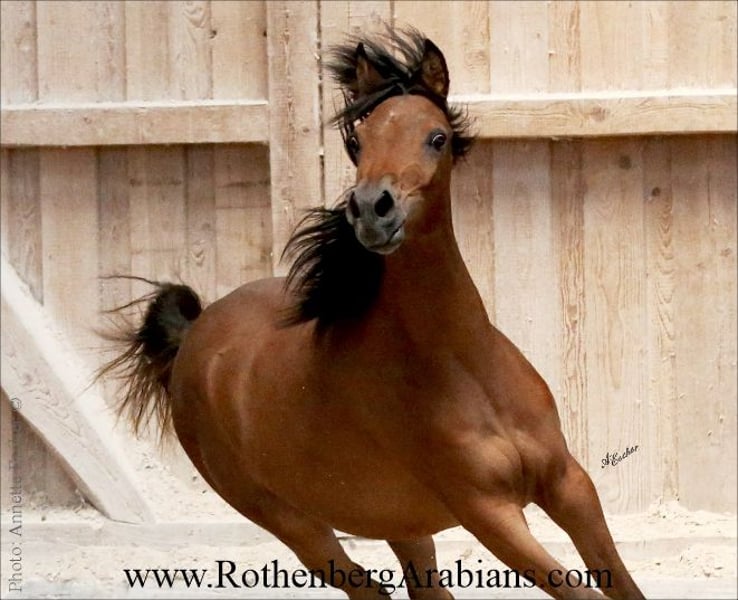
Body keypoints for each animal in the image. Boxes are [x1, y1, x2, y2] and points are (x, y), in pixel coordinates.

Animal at [99, 28, 645, 600]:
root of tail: (195, 335)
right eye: (358, 142)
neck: (464, 366)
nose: (371, 211)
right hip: (296, 524)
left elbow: (622, 584)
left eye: (436, 137)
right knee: (366, 587)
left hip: (397, 520)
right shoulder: (487, 512)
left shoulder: (568, 484)